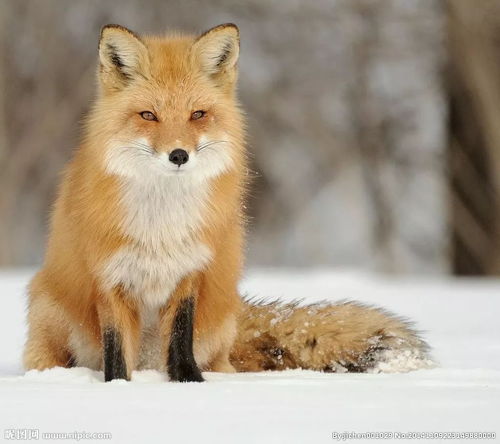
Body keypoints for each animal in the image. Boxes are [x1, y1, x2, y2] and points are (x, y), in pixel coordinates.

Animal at [22, 22, 430, 382]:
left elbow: (180, 341)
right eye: (148, 115)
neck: (162, 225)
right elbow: (116, 351)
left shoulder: (190, 271)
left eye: (198, 114)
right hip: (49, 311)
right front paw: (117, 388)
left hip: (220, 324)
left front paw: (191, 384)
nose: (179, 155)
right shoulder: (110, 277)